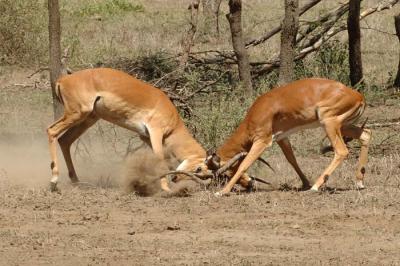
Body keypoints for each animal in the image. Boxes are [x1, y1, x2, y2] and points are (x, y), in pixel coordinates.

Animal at [47, 67, 212, 192]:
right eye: (199, 169)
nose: (176, 178)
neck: (174, 125)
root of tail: (63, 80)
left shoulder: (145, 136)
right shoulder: (155, 132)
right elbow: (160, 158)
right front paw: (166, 189)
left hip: (88, 118)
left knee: (65, 140)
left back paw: (76, 181)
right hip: (77, 113)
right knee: (52, 130)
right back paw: (54, 181)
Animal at [206, 78, 372, 196]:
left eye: (227, 173)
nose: (249, 185)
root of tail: (359, 96)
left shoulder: (262, 141)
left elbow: (244, 164)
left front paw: (222, 192)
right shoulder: (282, 138)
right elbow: (292, 160)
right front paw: (305, 183)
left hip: (329, 123)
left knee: (342, 151)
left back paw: (315, 187)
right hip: (343, 125)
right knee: (366, 134)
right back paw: (359, 182)